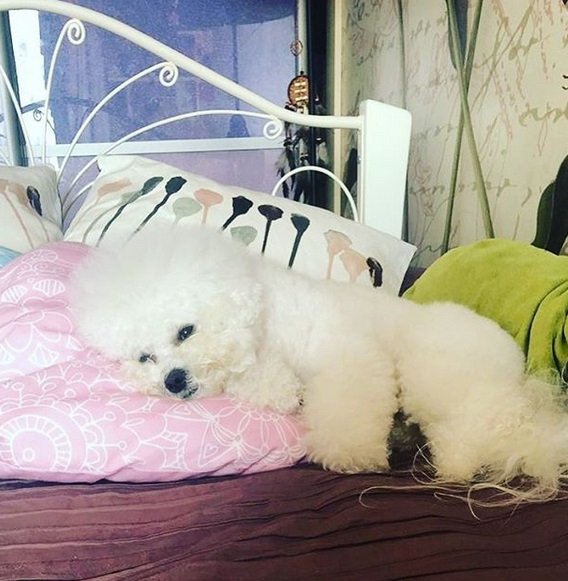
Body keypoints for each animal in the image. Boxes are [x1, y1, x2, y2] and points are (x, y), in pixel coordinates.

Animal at [70, 227, 568, 498]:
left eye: (185, 331)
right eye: (145, 356)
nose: (172, 380)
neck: (266, 319)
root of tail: (516, 376)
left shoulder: (348, 358)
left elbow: (347, 408)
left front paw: (352, 455)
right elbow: (266, 383)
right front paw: (283, 392)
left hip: (434, 370)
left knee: (478, 429)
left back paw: (454, 463)